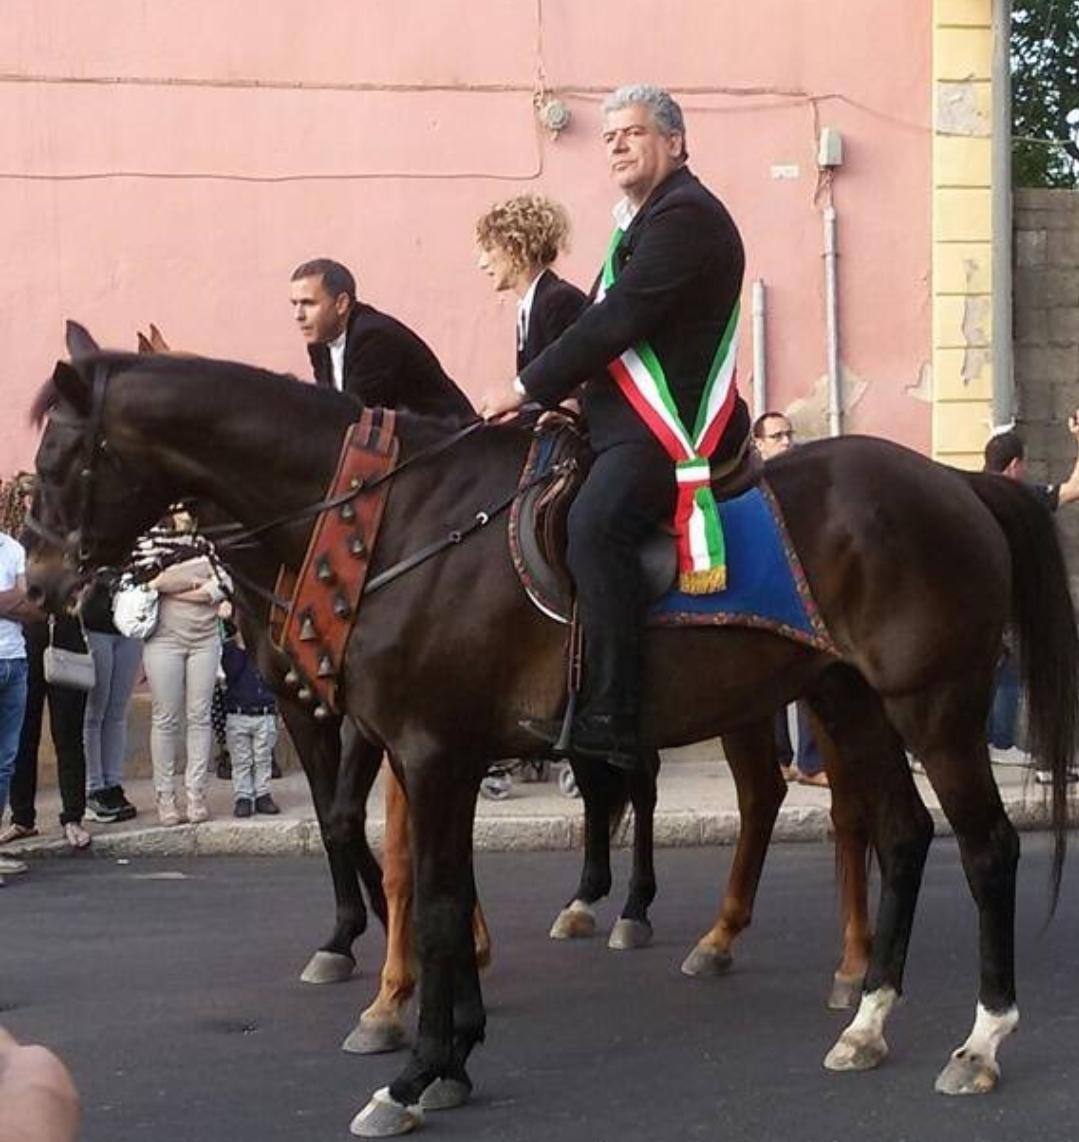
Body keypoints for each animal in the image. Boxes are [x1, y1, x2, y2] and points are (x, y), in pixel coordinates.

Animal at [25, 352, 1077, 1135]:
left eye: (62, 456)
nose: (37, 585)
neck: (396, 522)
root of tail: (955, 482)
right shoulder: (420, 751)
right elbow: (436, 887)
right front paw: (447, 1049)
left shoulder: (428, 751)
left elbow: (435, 903)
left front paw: (415, 1070)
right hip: (850, 701)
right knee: (899, 834)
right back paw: (866, 1017)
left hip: (931, 705)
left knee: (984, 848)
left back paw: (980, 1040)